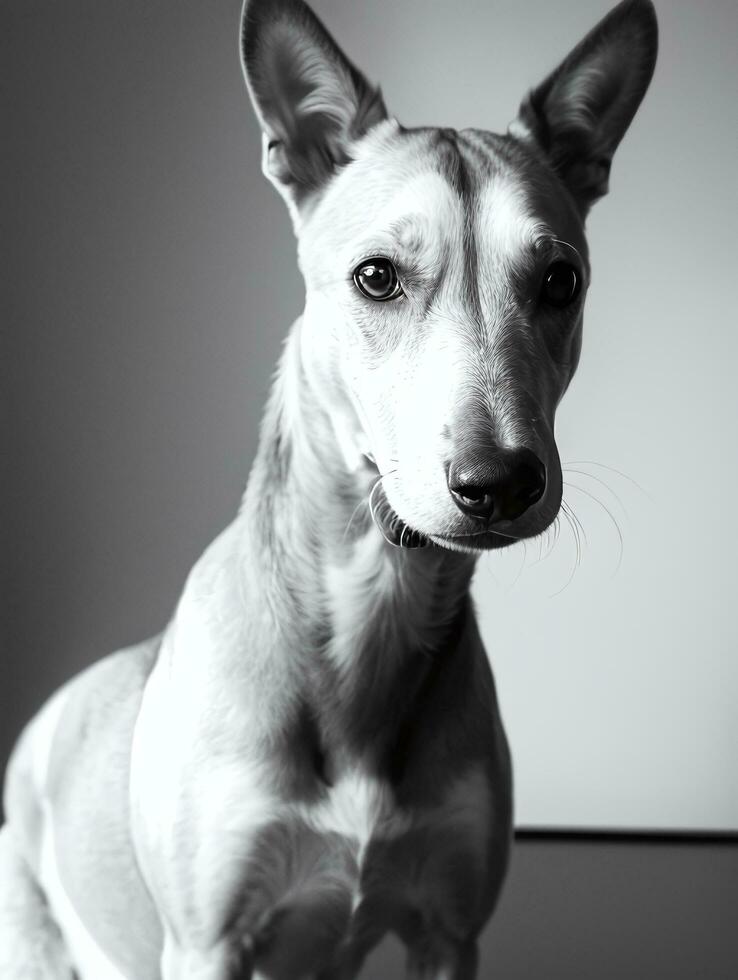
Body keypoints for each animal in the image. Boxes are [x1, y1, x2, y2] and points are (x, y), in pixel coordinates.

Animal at [0, 1, 656, 980]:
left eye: (561, 281)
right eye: (377, 277)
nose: (499, 482)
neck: (371, 600)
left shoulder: (449, 931)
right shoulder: (207, 945)